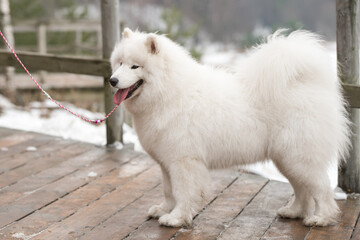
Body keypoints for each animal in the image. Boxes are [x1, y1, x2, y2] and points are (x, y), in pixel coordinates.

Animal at [110, 27, 352, 227]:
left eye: (135, 66)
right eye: (119, 63)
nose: (113, 80)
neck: (168, 93)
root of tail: (306, 84)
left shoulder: (183, 161)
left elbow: (182, 192)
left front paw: (176, 218)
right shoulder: (167, 163)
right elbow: (169, 191)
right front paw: (163, 210)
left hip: (298, 157)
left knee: (321, 188)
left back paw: (321, 218)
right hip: (286, 159)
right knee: (302, 188)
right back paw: (293, 212)